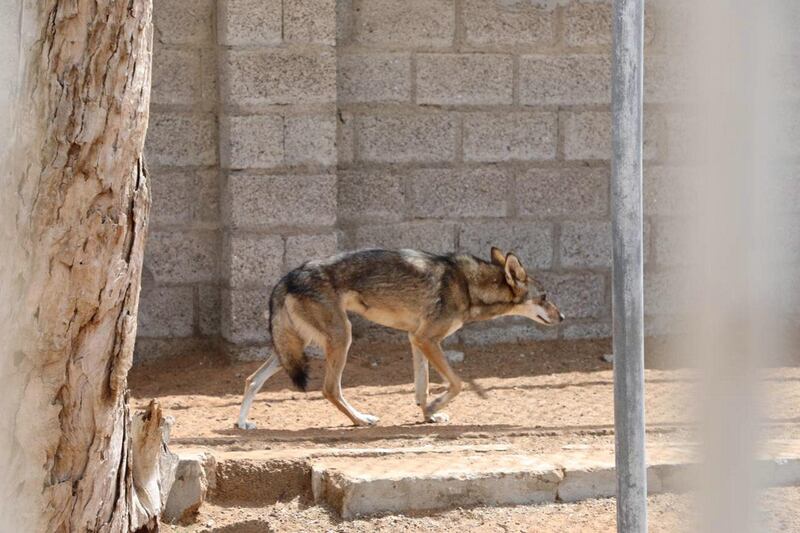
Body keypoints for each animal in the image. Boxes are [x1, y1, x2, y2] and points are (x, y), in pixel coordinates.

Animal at [234, 247, 564, 430]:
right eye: (545, 297)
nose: (562, 317)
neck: (468, 285)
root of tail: (285, 278)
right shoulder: (428, 340)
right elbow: (457, 384)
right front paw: (433, 409)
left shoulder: (416, 339)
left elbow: (422, 387)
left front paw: (428, 415)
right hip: (341, 339)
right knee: (329, 389)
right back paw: (360, 420)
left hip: (292, 349)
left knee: (251, 379)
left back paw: (242, 423)